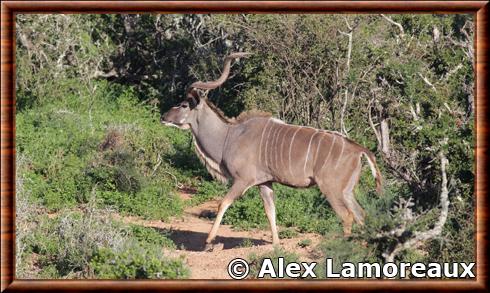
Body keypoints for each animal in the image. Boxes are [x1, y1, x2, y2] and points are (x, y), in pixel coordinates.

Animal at [162, 52, 382, 249]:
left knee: (347, 217)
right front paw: (276, 244)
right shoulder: (265, 182)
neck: (229, 136)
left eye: (184, 104)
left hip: (331, 188)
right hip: (346, 191)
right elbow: (271, 211)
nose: (164, 117)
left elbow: (222, 203)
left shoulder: (242, 180)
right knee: (362, 215)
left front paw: (209, 241)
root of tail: (359, 150)